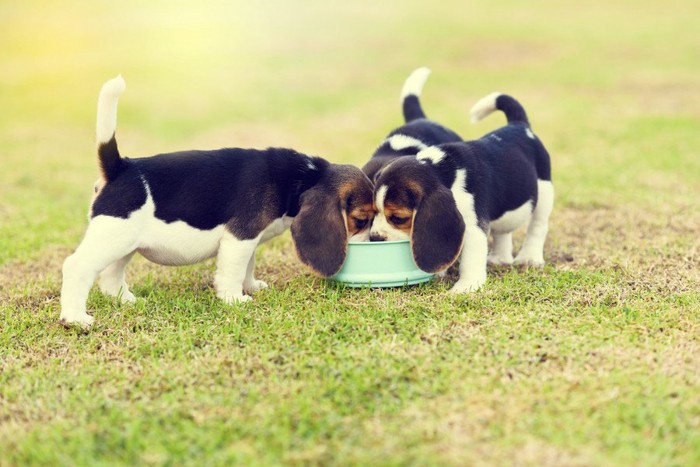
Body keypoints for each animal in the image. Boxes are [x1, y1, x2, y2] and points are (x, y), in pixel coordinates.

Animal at [61, 76, 378, 326]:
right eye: (360, 220)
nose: (372, 243)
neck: (303, 177)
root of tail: (120, 166)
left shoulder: (249, 240)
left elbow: (248, 266)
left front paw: (251, 286)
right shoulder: (240, 237)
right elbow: (233, 271)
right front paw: (234, 298)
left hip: (124, 241)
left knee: (111, 274)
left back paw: (126, 300)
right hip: (112, 236)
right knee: (77, 267)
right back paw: (76, 318)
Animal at [370, 93, 556, 294]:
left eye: (398, 218)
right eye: (374, 212)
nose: (374, 238)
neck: (443, 172)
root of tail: (519, 124)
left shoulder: (473, 226)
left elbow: (470, 259)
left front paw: (466, 286)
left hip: (544, 191)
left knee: (537, 226)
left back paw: (530, 257)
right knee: (503, 231)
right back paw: (499, 258)